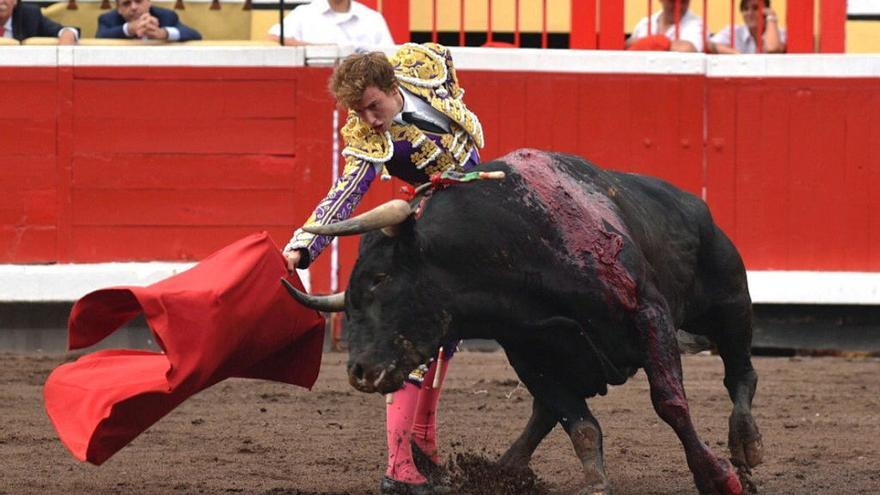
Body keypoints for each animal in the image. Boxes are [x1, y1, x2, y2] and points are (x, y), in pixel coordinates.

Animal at [286, 149, 760, 494]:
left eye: (381, 278)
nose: (359, 371)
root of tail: (696, 205)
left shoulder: (649, 314)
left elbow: (670, 402)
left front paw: (718, 478)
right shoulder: (529, 352)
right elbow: (579, 424)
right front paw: (595, 484)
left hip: (731, 303)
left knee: (741, 373)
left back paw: (746, 446)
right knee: (546, 413)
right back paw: (500, 470)